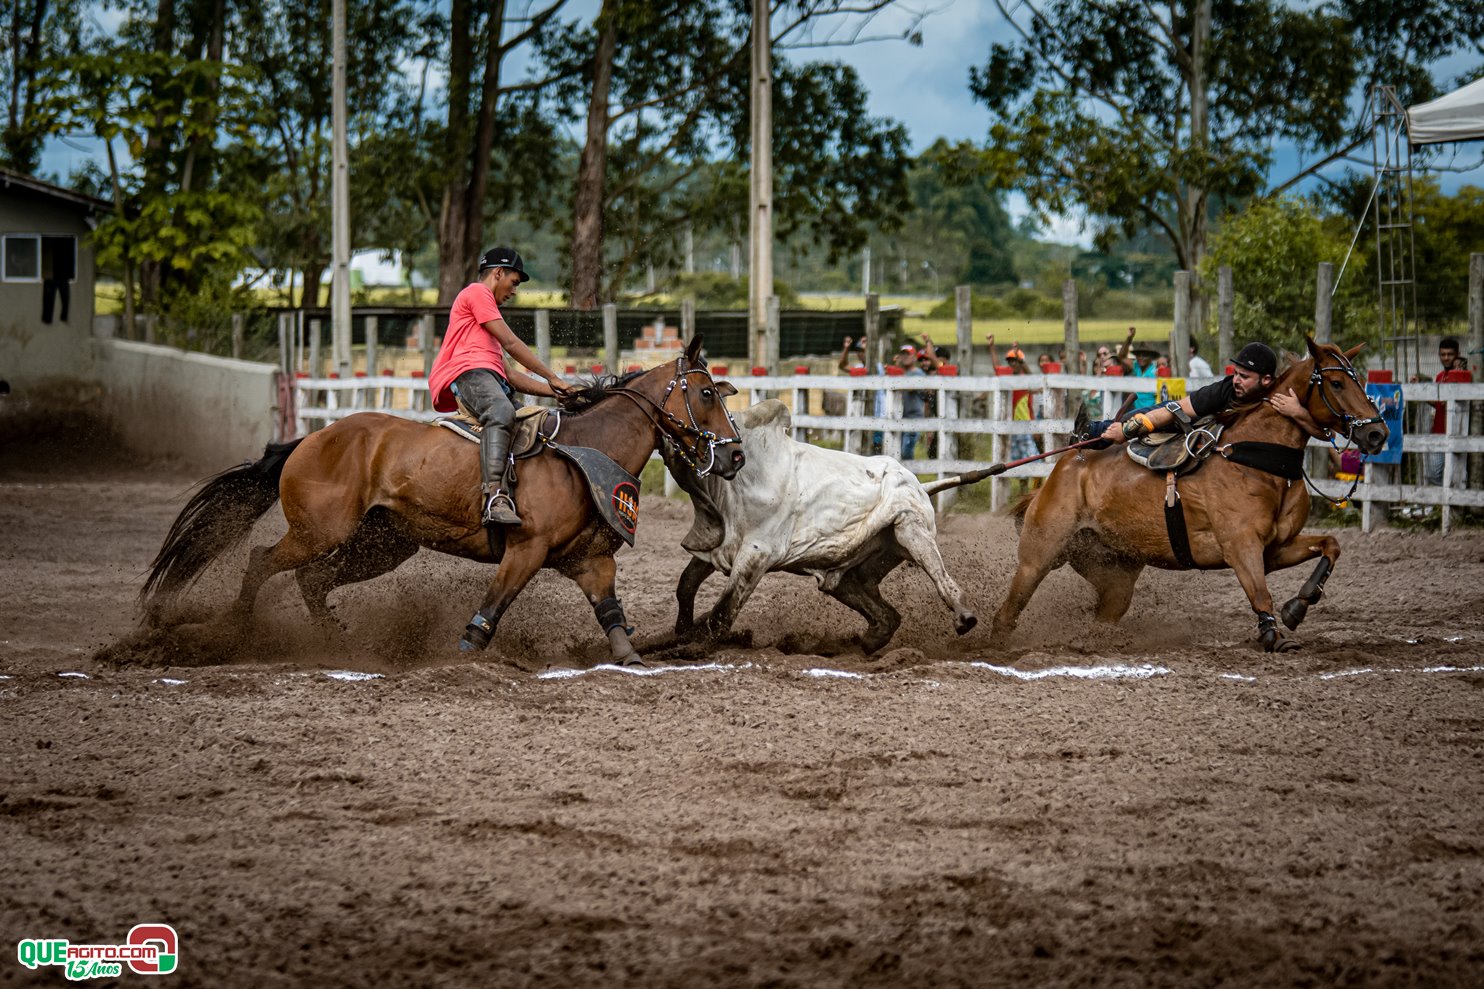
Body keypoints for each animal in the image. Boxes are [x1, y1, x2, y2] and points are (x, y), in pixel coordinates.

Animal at [139, 335, 742, 665]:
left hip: (382, 544)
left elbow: (613, 617)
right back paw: (234, 631)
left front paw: (633, 660)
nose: (735, 456)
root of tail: (310, 437)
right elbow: (492, 609)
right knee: (262, 561)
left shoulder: (591, 562)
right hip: (319, 532)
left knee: (312, 580)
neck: (584, 452)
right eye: (705, 392)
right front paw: (465, 655)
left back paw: (337, 643)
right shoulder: (524, 553)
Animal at [664, 397, 973, 650]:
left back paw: (965, 616)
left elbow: (722, 613)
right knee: (887, 616)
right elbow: (686, 584)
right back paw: (866, 641)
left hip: (911, 531)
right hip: (851, 574)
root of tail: (919, 484)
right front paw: (682, 632)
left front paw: (690, 649)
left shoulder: (757, 553)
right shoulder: (719, 546)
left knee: (942, 580)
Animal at [997, 335, 1389, 650]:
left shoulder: (1275, 548)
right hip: (1038, 557)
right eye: (1336, 383)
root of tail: (1064, 465)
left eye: (1359, 380)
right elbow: (1260, 593)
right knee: (1007, 612)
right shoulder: (1241, 546)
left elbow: (1330, 545)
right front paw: (1273, 634)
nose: (1377, 434)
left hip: (1113, 572)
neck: (1258, 461)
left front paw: (1298, 606)